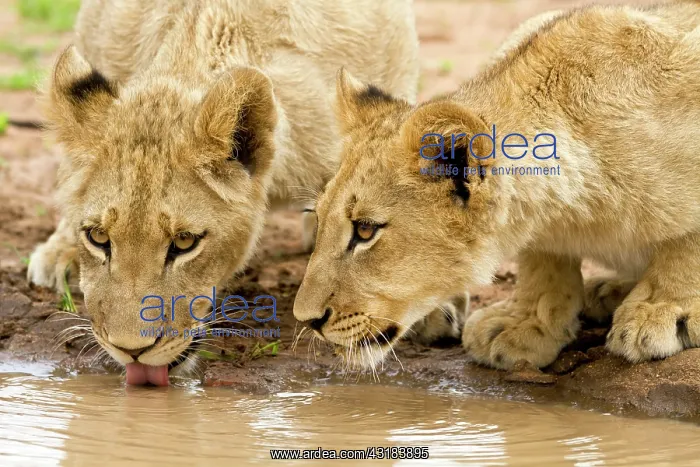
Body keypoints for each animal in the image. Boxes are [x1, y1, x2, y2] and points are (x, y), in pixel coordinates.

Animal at [293, 1, 700, 371]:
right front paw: (525, 322)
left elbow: (686, 241)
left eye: (365, 230)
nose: (307, 320)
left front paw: (663, 308)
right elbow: (542, 257)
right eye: (319, 219)